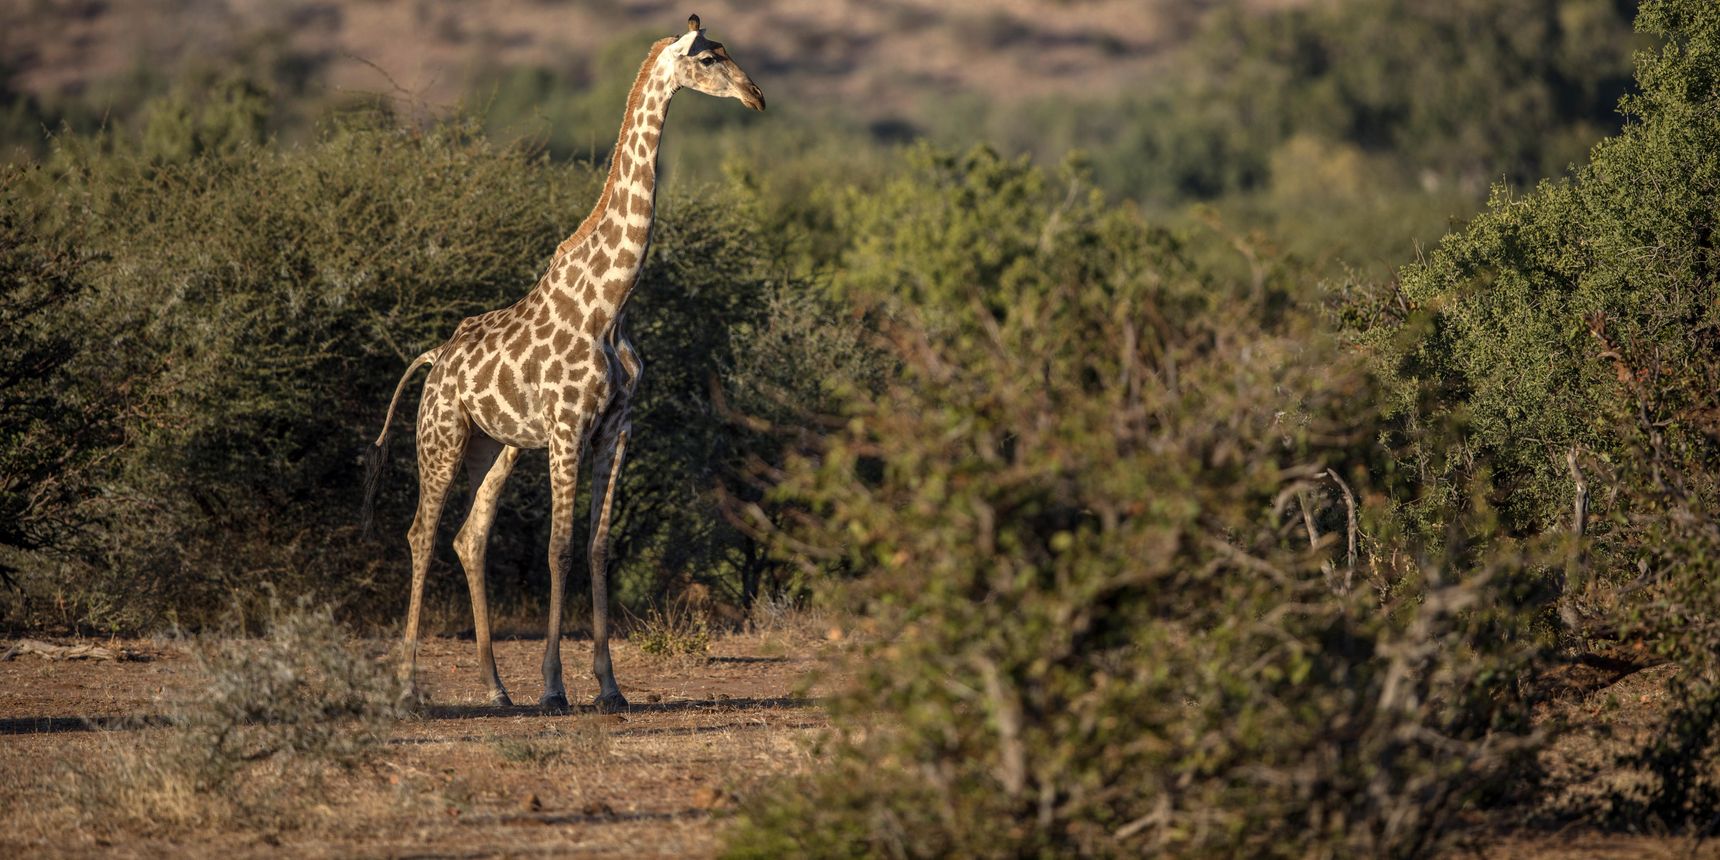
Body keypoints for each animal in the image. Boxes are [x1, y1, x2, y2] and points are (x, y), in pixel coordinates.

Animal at [363, 14, 765, 712]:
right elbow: (558, 548)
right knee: (421, 533)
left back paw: (496, 689)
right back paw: (411, 688)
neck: (611, 303)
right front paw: (555, 687)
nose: (756, 96)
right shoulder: (566, 428)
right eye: (710, 59)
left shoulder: (616, 429)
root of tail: (434, 358)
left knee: (470, 536)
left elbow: (599, 546)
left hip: (493, 447)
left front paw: (609, 687)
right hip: (440, 438)